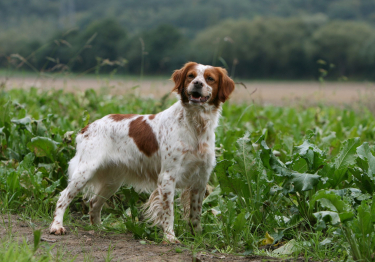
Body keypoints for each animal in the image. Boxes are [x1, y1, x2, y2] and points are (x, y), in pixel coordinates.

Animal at [49, 62, 235, 243]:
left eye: (210, 78)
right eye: (191, 76)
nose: (197, 83)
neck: (195, 126)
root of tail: (86, 127)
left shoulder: (200, 179)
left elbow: (195, 214)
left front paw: (197, 237)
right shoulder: (168, 176)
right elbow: (169, 212)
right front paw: (170, 237)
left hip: (112, 181)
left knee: (94, 202)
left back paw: (99, 228)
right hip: (86, 170)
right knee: (63, 197)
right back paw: (57, 226)